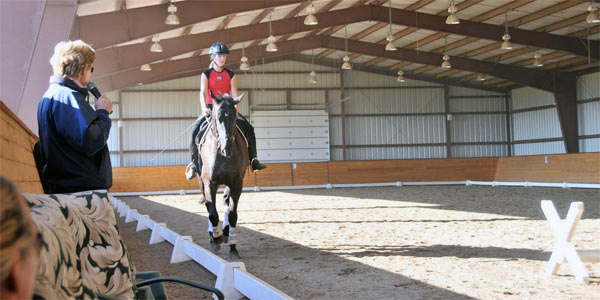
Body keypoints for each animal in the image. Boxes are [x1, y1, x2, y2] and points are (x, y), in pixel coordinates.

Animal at [198, 92, 247, 258]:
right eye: (217, 116)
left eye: (234, 117)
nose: (227, 148)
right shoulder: (209, 183)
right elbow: (212, 212)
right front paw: (216, 238)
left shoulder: (236, 184)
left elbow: (232, 214)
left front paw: (233, 247)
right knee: (209, 207)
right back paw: (215, 235)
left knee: (226, 201)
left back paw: (225, 232)